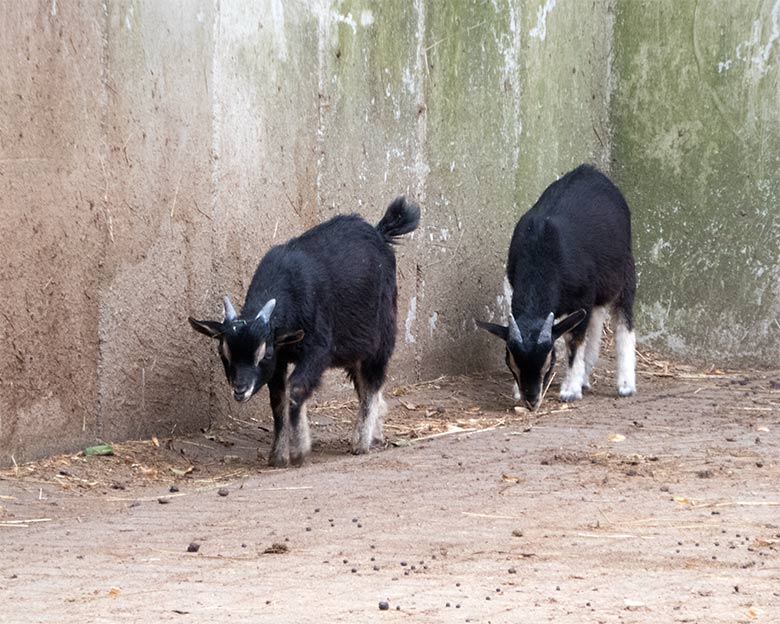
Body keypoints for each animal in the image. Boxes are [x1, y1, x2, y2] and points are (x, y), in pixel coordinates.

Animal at [190, 197, 420, 466]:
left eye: (264, 354)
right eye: (223, 353)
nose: (240, 390)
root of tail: (380, 231)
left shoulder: (316, 350)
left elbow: (296, 389)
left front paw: (299, 448)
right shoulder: (281, 359)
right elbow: (278, 401)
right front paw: (278, 456)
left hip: (381, 336)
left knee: (372, 382)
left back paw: (362, 441)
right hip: (354, 345)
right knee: (364, 383)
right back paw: (374, 432)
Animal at [478, 165, 636, 410]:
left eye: (549, 361)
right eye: (511, 362)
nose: (532, 400)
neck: (542, 250)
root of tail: (591, 170)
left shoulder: (583, 297)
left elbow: (574, 340)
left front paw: (570, 389)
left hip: (624, 269)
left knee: (623, 318)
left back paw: (625, 384)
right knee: (597, 316)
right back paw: (586, 375)